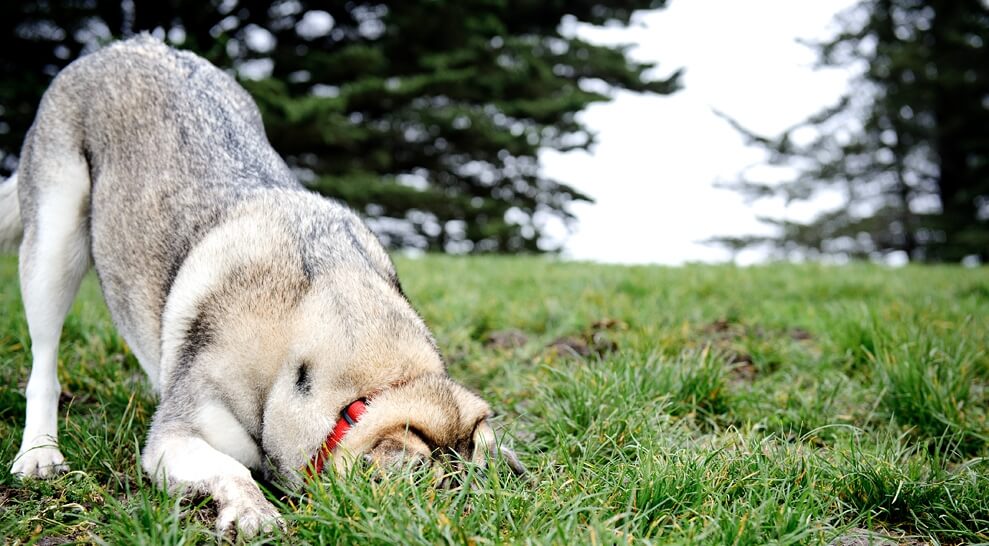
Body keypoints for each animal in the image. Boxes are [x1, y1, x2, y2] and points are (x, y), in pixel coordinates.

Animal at [1, 36, 524, 532]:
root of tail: (130, 44)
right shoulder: (176, 437)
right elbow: (234, 468)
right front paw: (255, 512)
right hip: (54, 242)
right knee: (44, 361)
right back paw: (39, 452)